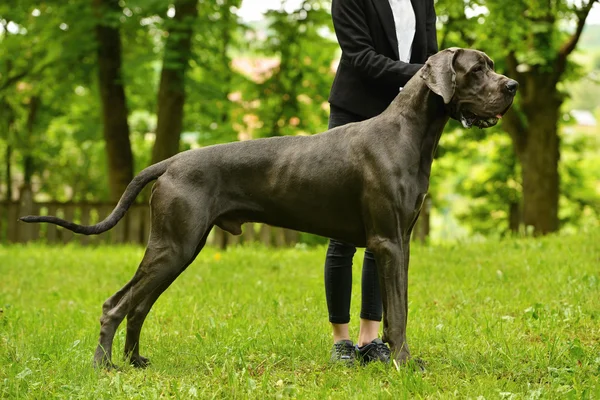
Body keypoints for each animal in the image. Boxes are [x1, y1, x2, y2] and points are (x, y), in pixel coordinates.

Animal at [19, 47, 516, 368]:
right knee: (117, 304)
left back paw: (135, 360)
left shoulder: (402, 243)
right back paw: (104, 367)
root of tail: (171, 161)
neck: (409, 131)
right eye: (477, 69)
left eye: (491, 67)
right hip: (174, 246)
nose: (512, 85)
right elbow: (397, 313)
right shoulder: (387, 242)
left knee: (139, 305)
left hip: (179, 249)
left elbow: (401, 307)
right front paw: (406, 365)